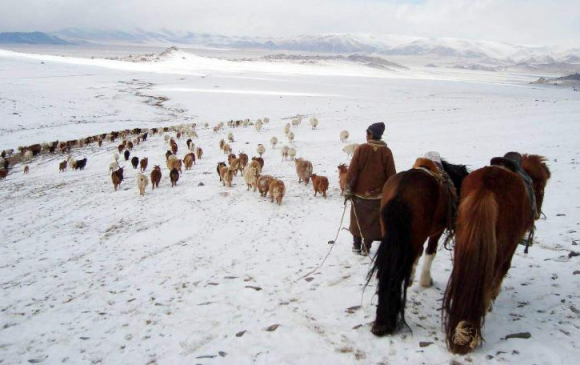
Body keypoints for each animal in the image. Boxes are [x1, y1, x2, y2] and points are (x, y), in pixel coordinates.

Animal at [370, 156, 468, 336]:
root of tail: (401, 193)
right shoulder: (436, 231)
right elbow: (430, 252)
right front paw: (425, 280)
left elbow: (417, 254)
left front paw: (411, 278)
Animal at [442, 153, 552, 352]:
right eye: (542, 187)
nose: (538, 214)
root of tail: (488, 185)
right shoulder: (512, 245)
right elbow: (503, 271)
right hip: (501, 246)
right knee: (493, 273)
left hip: (464, 238)